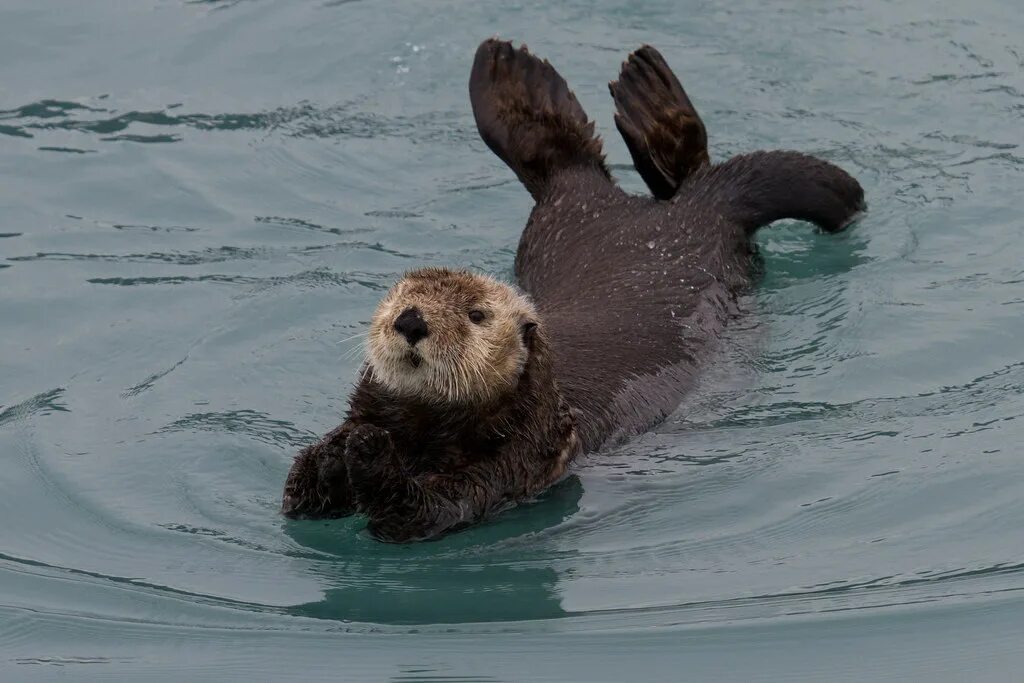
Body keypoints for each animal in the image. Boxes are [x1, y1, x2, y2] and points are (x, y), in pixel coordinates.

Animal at [280, 37, 864, 540]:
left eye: (477, 315)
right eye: (397, 301)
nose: (410, 321)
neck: (430, 428)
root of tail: (700, 207)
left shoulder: (516, 462)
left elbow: (425, 509)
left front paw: (366, 451)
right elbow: (298, 497)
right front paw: (334, 449)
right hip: (567, 210)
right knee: (568, 155)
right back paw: (531, 69)